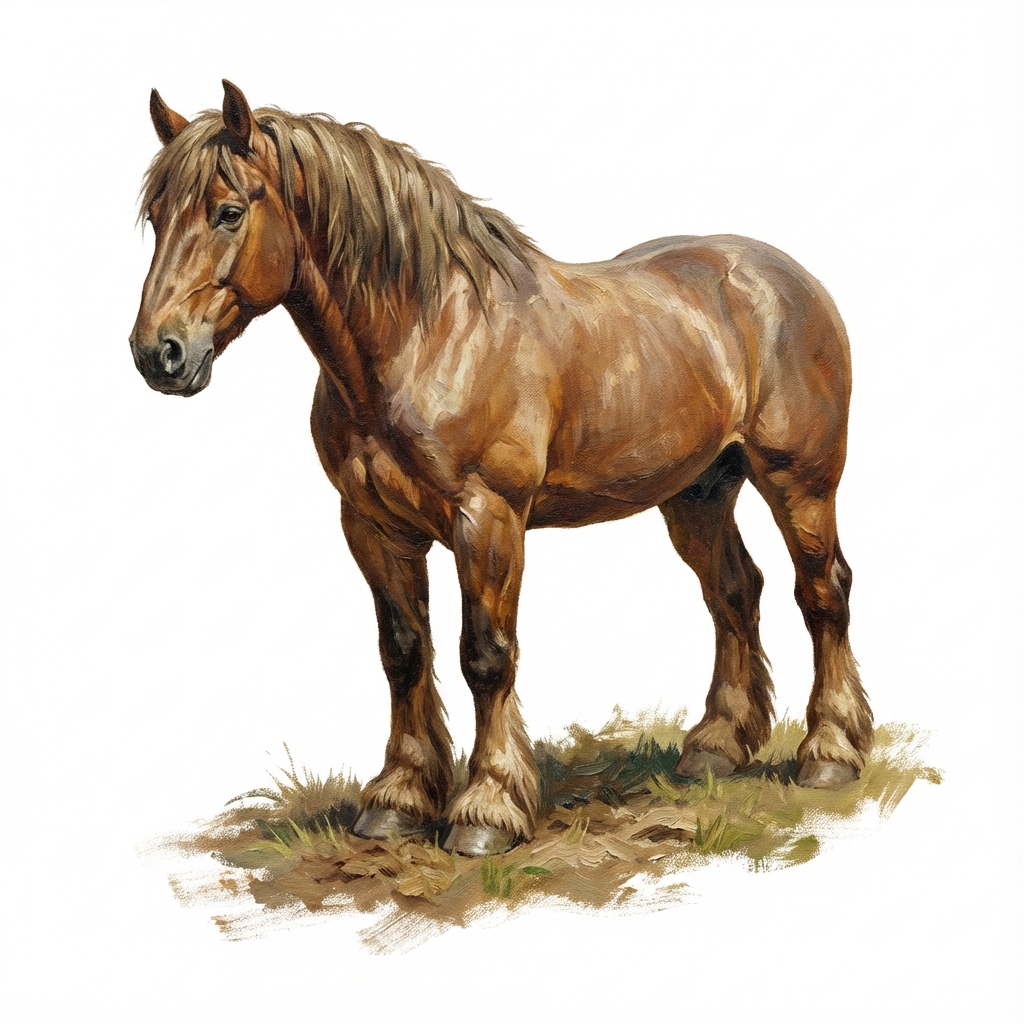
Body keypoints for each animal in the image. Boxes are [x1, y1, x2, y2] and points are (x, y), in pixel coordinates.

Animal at [131, 81, 873, 856]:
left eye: (228, 211)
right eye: (155, 217)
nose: (160, 353)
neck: (427, 334)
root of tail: (787, 278)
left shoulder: (487, 520)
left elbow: (485, 656)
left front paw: (486, 809)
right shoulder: (373, 526)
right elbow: (403, 652)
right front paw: (398, 798)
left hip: (800, 483)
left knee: (823, 593)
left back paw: (829, 752)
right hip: (696, 494)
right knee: (734, 592)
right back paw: (717, 747)